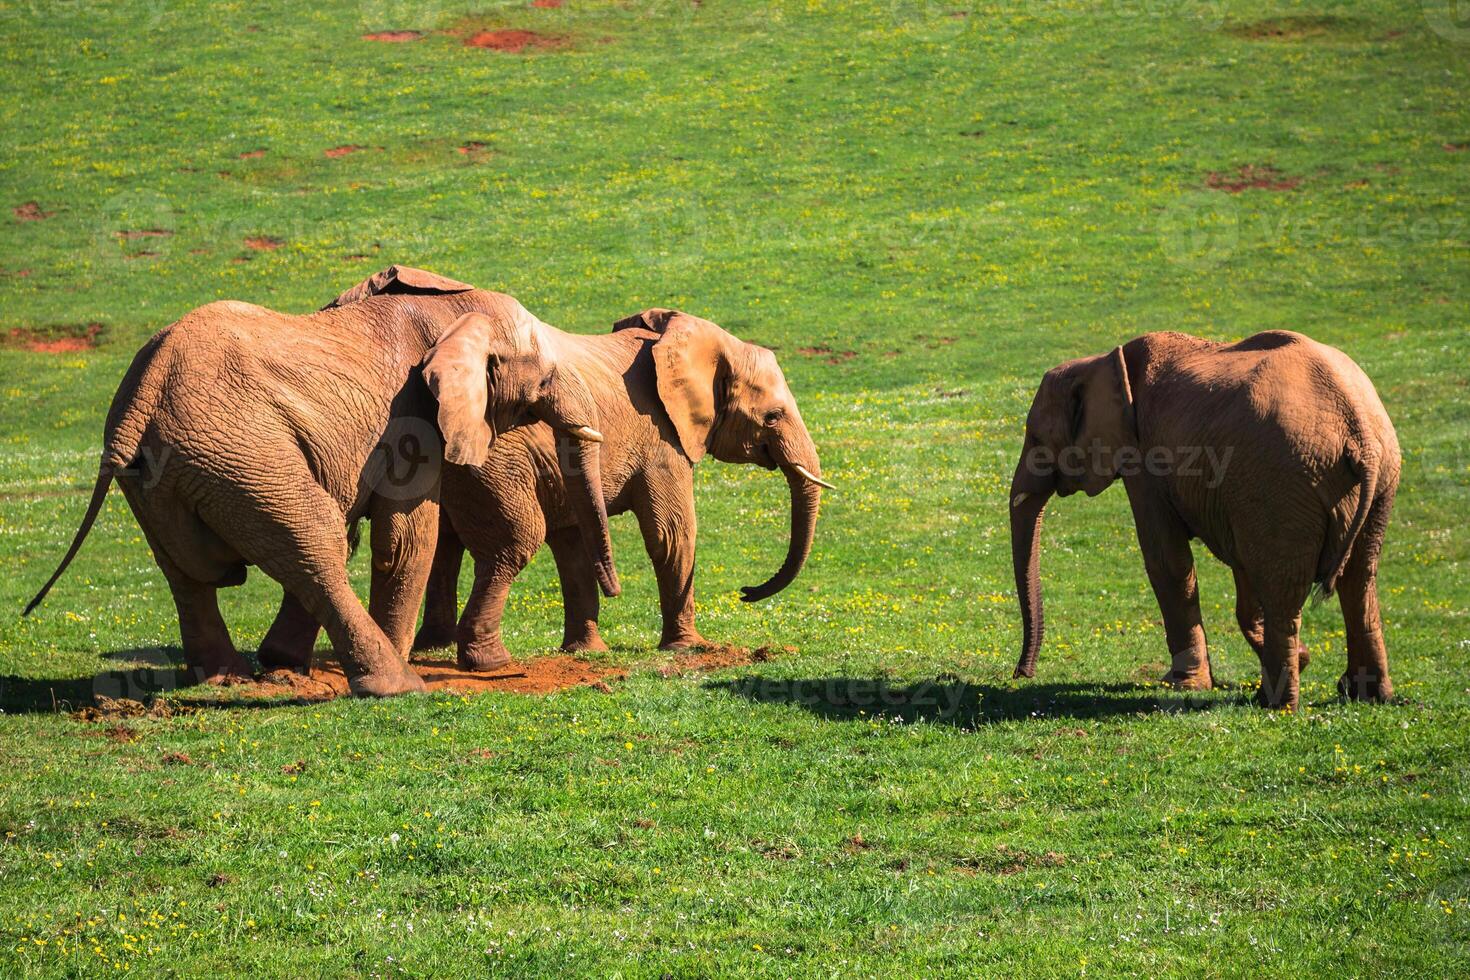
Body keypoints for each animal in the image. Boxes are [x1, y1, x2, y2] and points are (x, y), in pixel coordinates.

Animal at [24, 268, 620, 696]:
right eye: (545, 374)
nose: (615, 591)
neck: (453, 313)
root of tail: (141, 393)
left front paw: (282, 665)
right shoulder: (411, 420)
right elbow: (406, 537)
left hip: (169, 473)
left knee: (191, 570)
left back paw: (231, 679)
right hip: (244, 448)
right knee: (314, 541)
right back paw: (398, 685)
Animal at [408, 307, 834, 669]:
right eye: (773, 417)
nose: (746, 592)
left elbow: (576, 545)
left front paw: (588, 653)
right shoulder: (662, 436)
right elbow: (672, 532)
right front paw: (688, 648)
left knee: (445, 541)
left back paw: (431, 650)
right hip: (492, 457)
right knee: (512, 539)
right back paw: (484, 660)